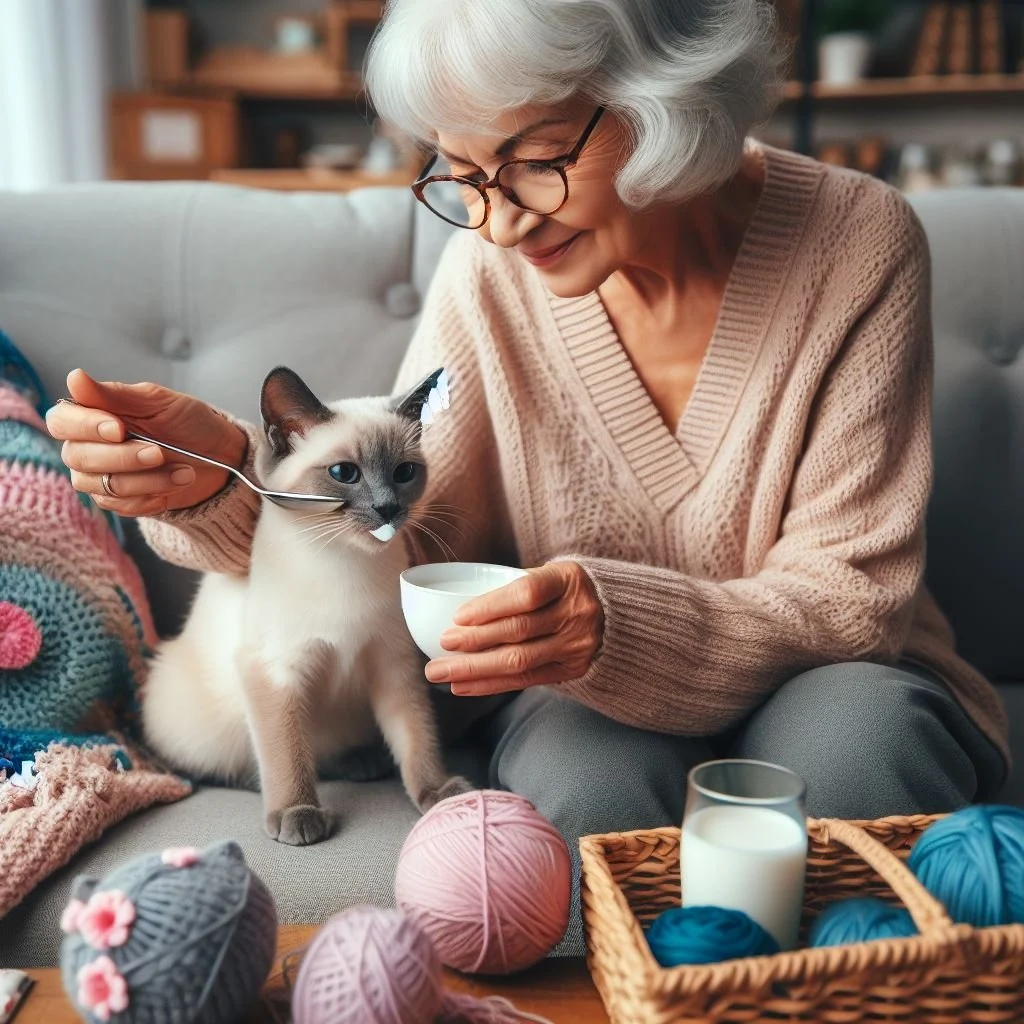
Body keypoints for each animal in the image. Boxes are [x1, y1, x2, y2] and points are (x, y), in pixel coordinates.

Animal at [144, 368, 471, 847]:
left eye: (405, 472)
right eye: (344, 473)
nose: (388, 508)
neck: (344, 564)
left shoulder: (393, 663)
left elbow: (417, 738)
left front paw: (439, 792)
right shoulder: (274, 670)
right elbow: (286, 752)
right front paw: (296, 813)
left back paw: (362, 762)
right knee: (231, 761)